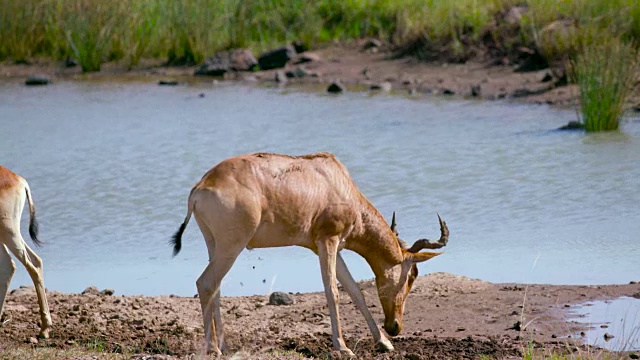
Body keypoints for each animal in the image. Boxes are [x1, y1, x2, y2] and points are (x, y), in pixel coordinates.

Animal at [171, 153, 450, 358]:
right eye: (413, 274)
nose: (394, 327)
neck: (334, 180)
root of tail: (200, 188)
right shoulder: (328, 241)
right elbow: (333, 291)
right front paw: (343, 348)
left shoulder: (328, 246)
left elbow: (355, 291)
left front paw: (383, 343)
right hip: (232, 246)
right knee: (206, 283)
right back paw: (213, 349)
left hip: (215, 245)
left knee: (215, 287)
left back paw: (224, 346)